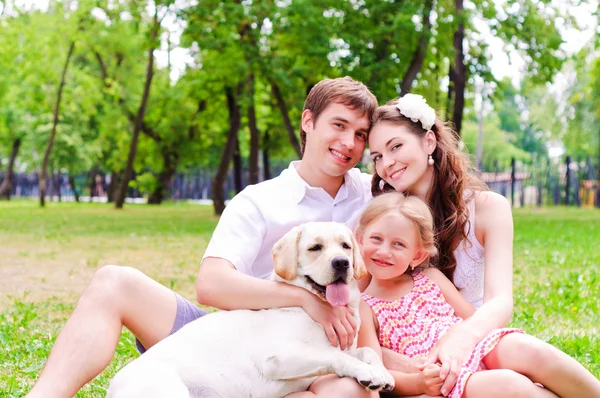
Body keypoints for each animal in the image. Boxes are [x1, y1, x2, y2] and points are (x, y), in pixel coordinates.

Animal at [108, 222, 394, 396]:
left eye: (346, 246)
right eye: (315, 248)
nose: (342, 262)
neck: (308, 310)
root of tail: (112, 386)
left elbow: (366, 350)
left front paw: (381, 372)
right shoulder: (279, 358)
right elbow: (335, 356)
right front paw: (365, 371)